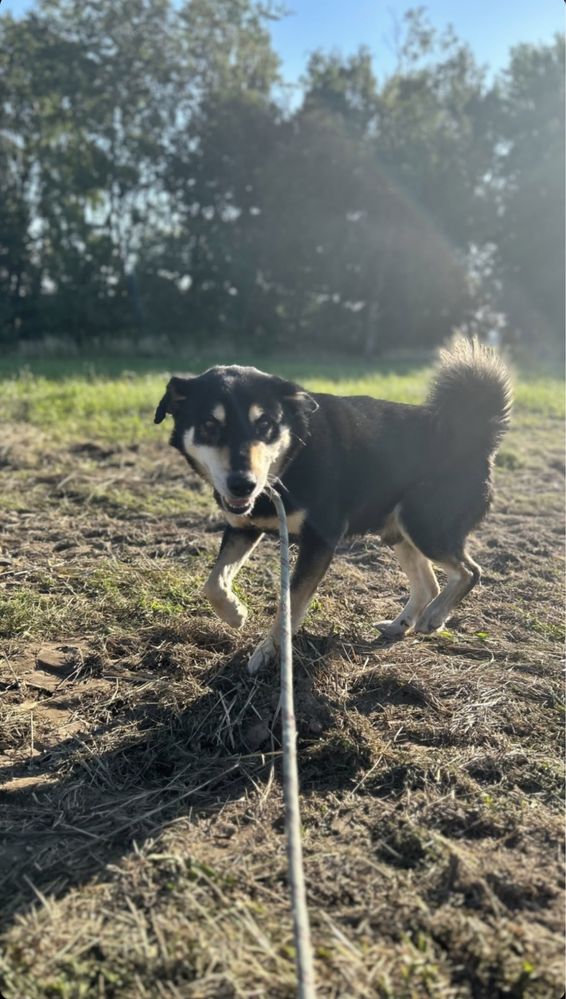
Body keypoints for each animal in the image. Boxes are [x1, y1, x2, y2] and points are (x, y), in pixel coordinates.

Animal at [155, 340, 516, 676]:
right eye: (209, 426)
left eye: (266, 424)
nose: (243, 484)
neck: (293, 455)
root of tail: (474, 435)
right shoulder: (243, 527)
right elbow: (213, 582)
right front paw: (234, 613)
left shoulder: (321, 540)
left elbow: (289, 608)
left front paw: (268, 653)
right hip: (399, 532)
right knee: (430, 584)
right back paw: (402, 624)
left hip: (425, 525)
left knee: (470, 572)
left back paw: (435, 617)